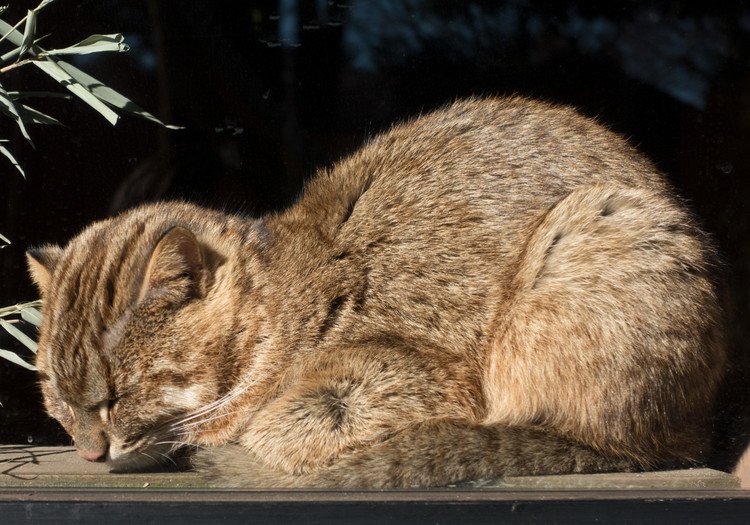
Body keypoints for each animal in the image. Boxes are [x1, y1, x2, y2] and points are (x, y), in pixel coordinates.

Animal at [26, 96, 724, 486]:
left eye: (120, 395)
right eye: (54, 394)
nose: (89, 454)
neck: (279, 302)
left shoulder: (407, 380)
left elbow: (274, 431)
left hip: (590, 234)